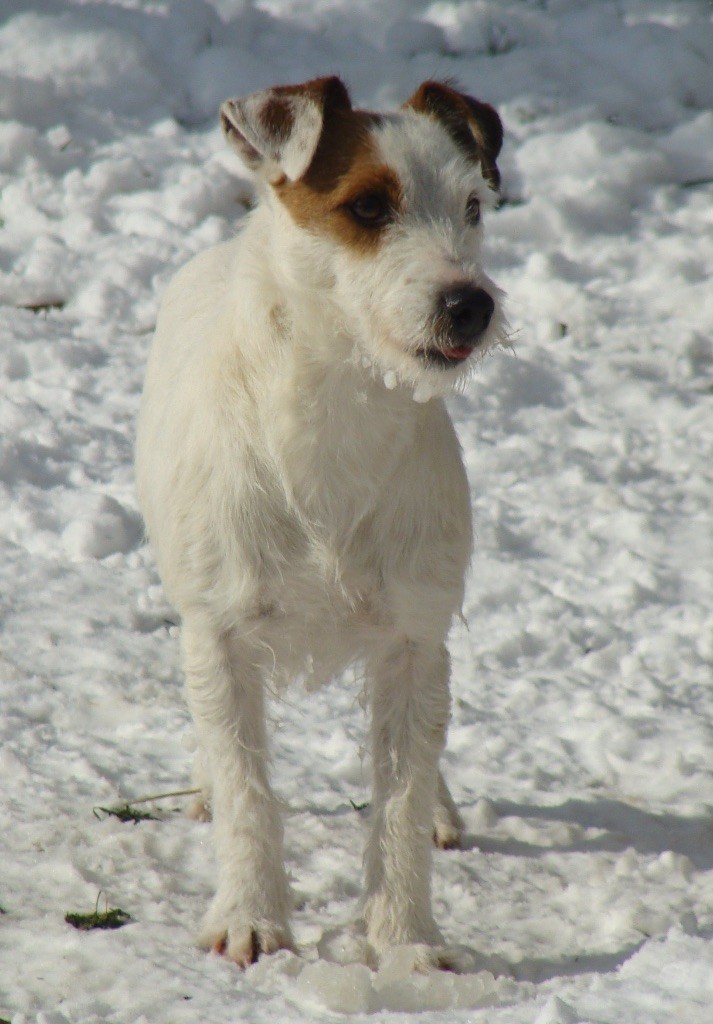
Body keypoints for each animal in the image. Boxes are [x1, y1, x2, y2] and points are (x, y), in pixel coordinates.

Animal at [136, 75, 504, 970]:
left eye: (473, 205)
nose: (470, 304)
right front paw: (250, 917)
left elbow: (398, 800)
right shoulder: (222, 636)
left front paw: (405, 940)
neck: (338, 411)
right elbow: (247, 789)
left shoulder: (412, 638)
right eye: (368, 206)